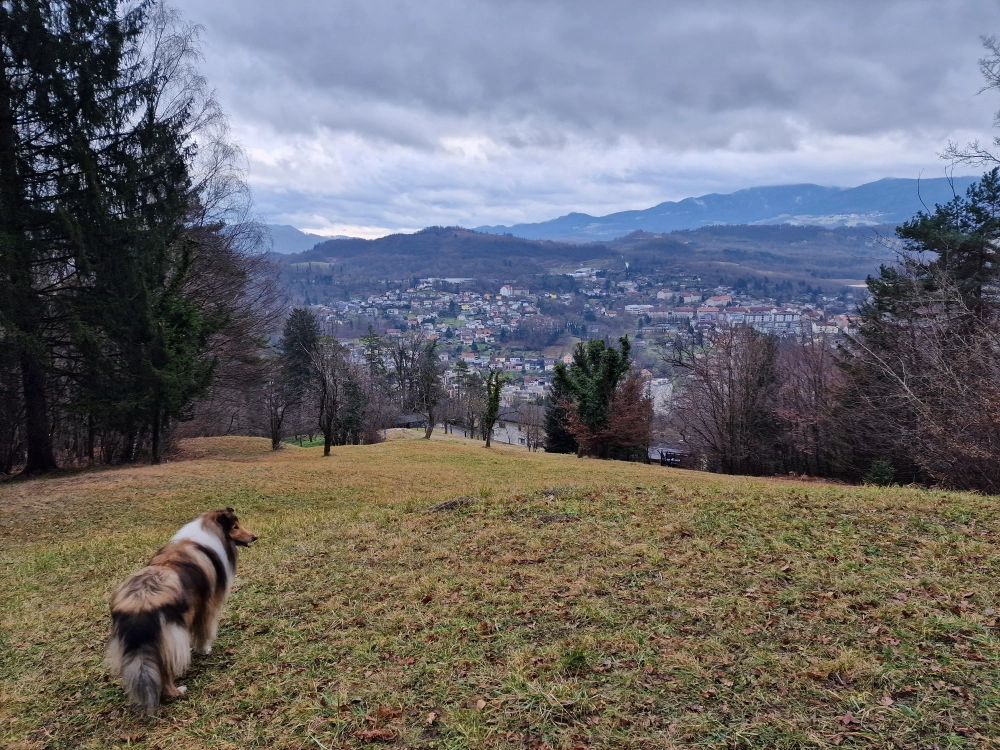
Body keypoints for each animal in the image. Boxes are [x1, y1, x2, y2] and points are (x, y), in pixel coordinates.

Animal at [105, 512, 258, 716]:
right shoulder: (207, 606)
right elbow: (203, 632)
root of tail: (140, 602)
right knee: (165, 670)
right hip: (171, 637)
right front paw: (204, 649)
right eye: (235, 527)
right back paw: (176, 691)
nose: (254, 537)